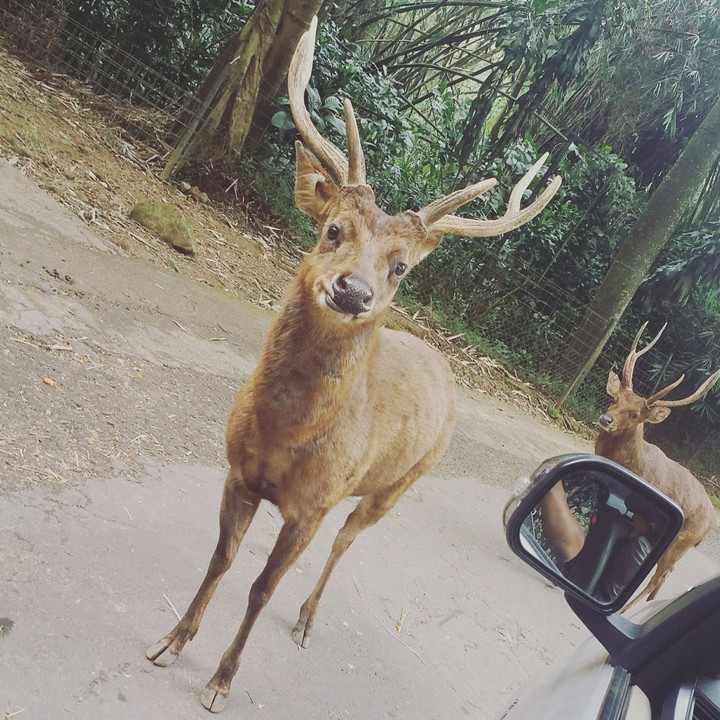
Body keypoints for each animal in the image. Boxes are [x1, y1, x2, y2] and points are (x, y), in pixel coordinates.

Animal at [145, 16, 561, 713]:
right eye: (333, 228)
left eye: (401, 268)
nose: (354, 292)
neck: (284, 438)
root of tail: (444, 363)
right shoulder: (237, 471)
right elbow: (221, 561)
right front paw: (171, 641)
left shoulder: (312, 505)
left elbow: (260, 587)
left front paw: (222, 679)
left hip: (400, 483)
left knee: (347, 540)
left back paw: (308, 618)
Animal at [595, 321, 720, 608]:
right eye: (616, 399)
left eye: (635, 415)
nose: (606, 420)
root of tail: (711, 521)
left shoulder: (645, 518)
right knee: (665, 574)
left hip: (681, 540)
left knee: (659, 574)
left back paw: (630, 608)